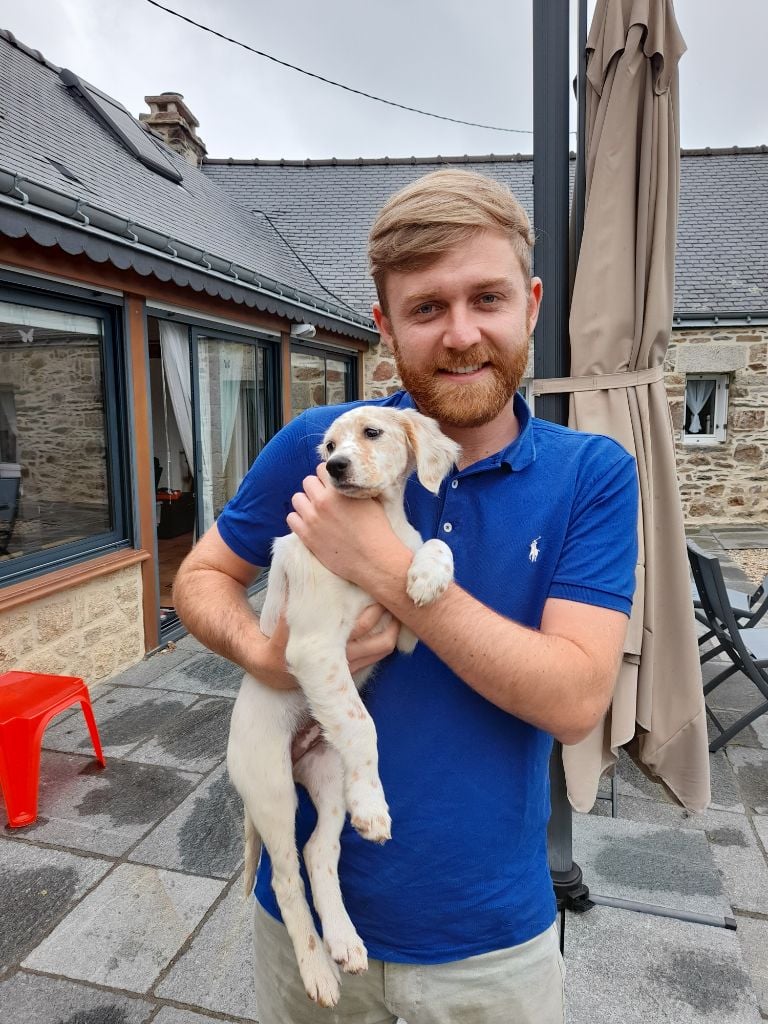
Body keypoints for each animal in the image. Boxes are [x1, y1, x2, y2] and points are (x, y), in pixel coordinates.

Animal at [225, 403, 460, 1003]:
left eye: (372, 433)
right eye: (328, 446)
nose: (334, 468)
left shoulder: (401, 631)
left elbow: (431, 546)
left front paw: (427, 576)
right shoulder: (313, 648)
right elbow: (362, 725)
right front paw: (376, 806)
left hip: (329, 776)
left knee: (319, 853)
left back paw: (346, 942)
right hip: (273, 792)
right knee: (287, 876)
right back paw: (317, 969)